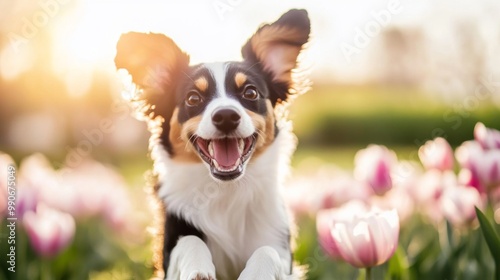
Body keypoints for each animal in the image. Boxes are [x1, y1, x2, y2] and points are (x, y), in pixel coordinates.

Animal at [115, 9, 310, 280]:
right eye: (193, 98)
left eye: (250, 93)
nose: (226, 116)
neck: (226, 190)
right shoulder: (170, 247)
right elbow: (190, 241)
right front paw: (198, 269)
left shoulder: (280, 244)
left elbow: (267, 251)